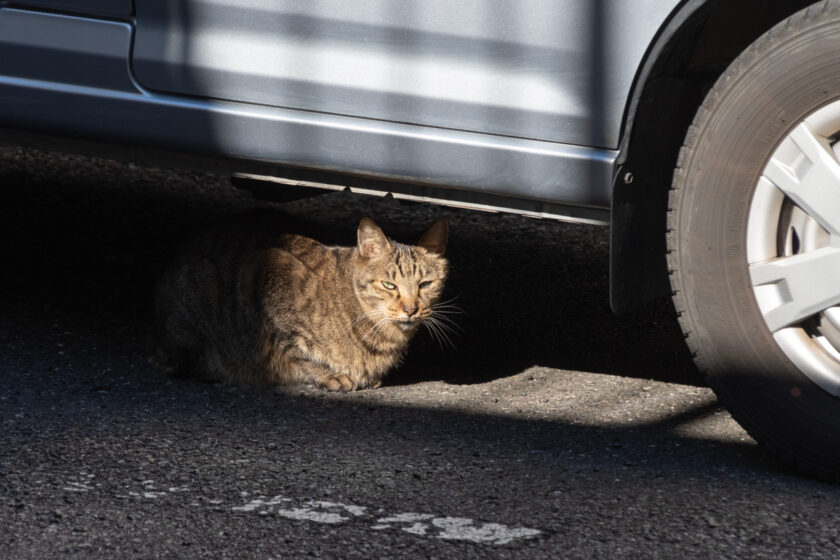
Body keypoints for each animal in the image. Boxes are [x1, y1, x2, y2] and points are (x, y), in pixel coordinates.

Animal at [153, 212, 450, 392]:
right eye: (389, 285)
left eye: (425, 284)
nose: (410, 309)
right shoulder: (264, 272)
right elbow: (293, 345)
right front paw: (327, 373)